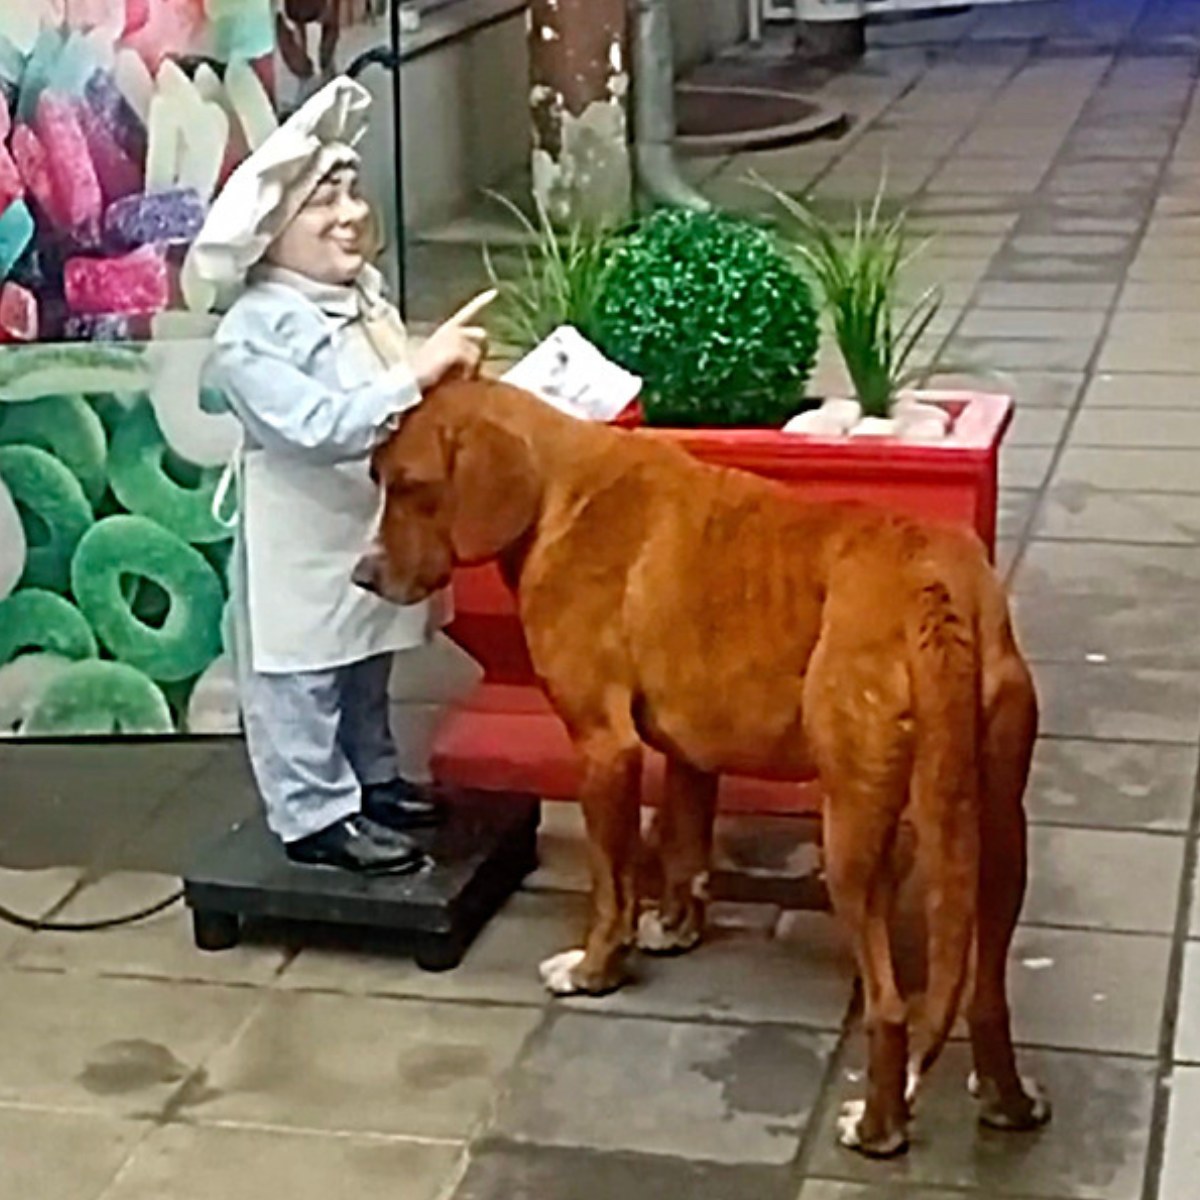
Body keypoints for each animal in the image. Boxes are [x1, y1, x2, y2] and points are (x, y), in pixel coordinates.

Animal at [357, 377, 1051, 1157]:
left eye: (412, 486)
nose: (362, 575)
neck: (556, 488)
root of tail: (934, 586)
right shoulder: (690, 752)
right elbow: (685, 848)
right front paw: (675, 930)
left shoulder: (604, 748)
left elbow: (612, 885)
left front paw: (596, 970)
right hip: (999, 836)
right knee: (987, 991)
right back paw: (1009, 1103)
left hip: (853, 841)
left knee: (890, 1007)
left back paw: (877, 1129)